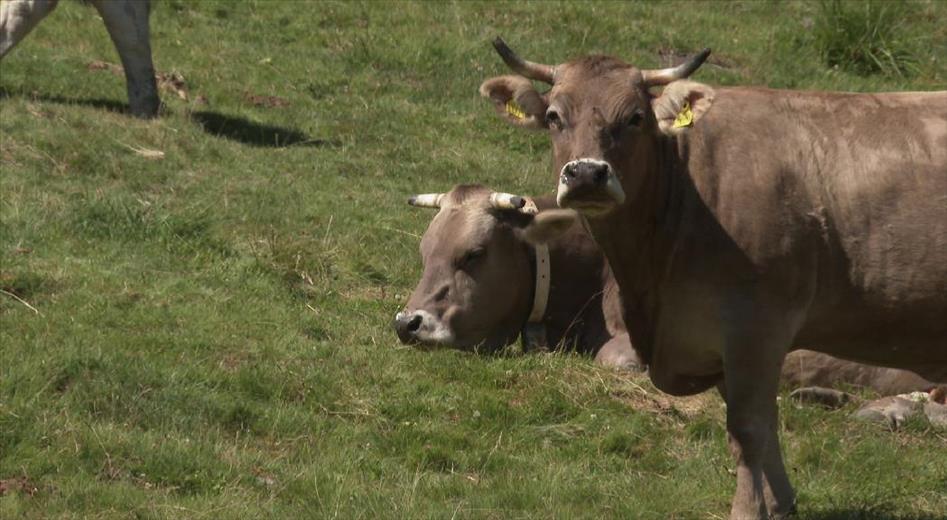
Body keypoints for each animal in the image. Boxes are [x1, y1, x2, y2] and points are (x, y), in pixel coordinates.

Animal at [482, 38, 947, 516]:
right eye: (554, 116)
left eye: (635, 117)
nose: (587, 174)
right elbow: (762, 424)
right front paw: (779, 502)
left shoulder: (756, 325)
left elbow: (747, 427)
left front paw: (747, 508)